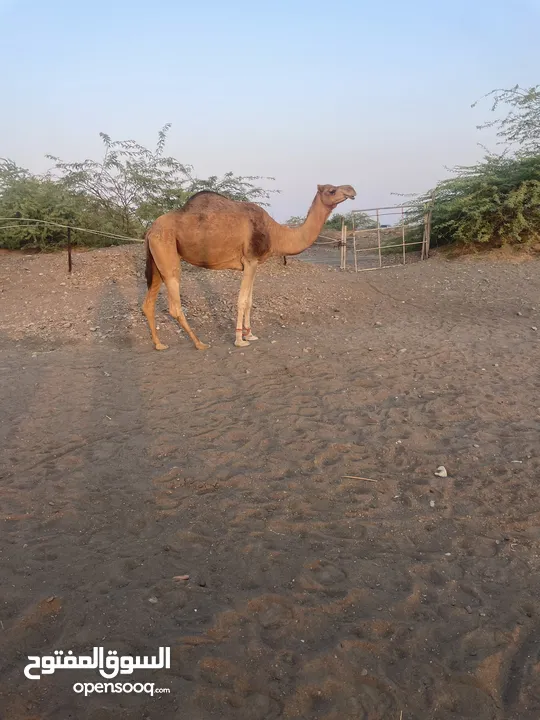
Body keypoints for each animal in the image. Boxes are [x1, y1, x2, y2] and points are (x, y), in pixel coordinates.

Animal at [141, 184, 356, 350]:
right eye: (331, 190)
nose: (351, 189)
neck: (275, 233)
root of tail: (150, 230)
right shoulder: (250, 260)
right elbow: (242, 301)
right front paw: (240, 340)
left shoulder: (254, 264)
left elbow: (250, 300)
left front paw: (250, 334)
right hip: (167, 252)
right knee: (174, 305)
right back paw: (200, 343)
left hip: (156, 260)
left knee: (148, 303)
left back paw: (159, 344)